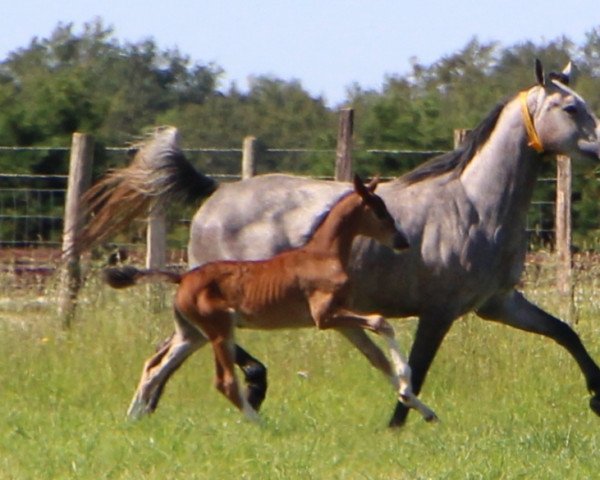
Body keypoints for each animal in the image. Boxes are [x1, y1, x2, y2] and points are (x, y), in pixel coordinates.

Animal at [105, 174, 438, 422]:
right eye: (379, 211)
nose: (402, 241)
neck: (322, 255)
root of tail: (183, 277)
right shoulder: (325, 316)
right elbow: (382, 323)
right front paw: (407, 379)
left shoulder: (342, 317)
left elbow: (377, 357)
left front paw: (422, 407)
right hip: (220, 330)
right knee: (223, 381)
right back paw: (261, 424)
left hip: (193, 333)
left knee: (156, 367)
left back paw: (132, 417)